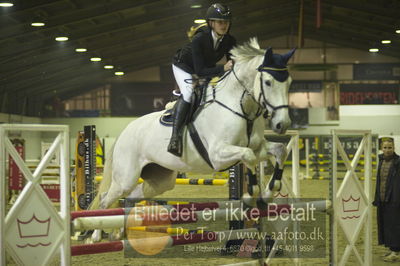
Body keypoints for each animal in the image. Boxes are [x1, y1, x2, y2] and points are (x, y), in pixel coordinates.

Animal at [90, 38, 294, 241]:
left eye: (289, 83)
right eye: (267, 82)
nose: (282, 124)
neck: (242, 108)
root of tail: (125, 131)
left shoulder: (258, 147)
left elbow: (279, 150)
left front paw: (268, 194)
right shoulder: (218, 155)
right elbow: (249, 156)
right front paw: (251, 196)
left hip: (160, 179)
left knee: (130, 197)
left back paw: (119, 232)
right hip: (126, 177)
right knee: (105, 198)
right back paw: (96, 234)